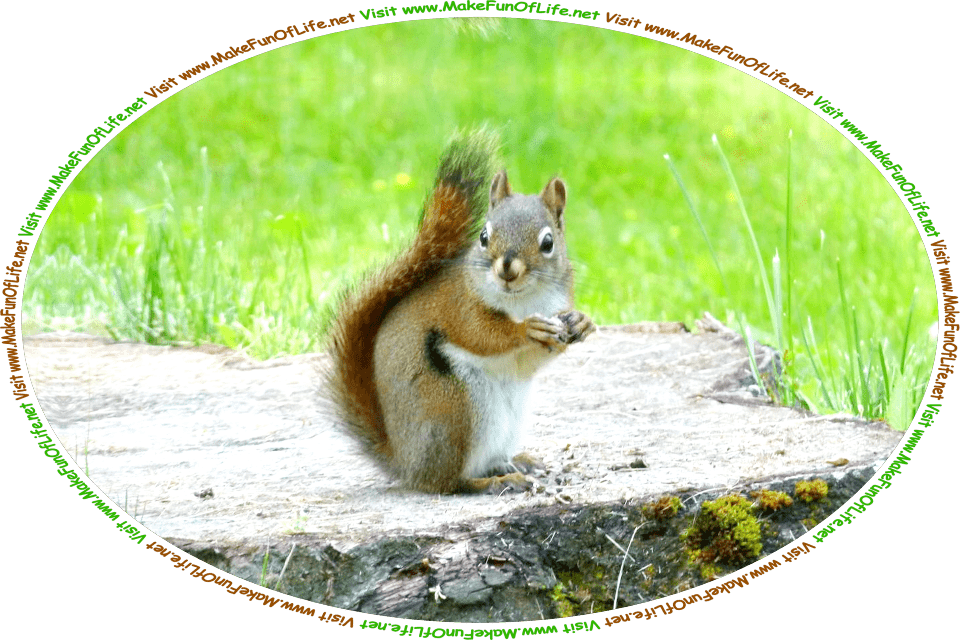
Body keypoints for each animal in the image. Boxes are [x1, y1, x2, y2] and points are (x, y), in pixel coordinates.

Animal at [325, 130, 595, 494]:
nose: (507, 269)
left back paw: (517, 462)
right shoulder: (459, 307)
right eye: (483, 236)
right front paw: (526, 330)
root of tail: (406, 463)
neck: (523, 301)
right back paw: (496, 480)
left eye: (548, 242)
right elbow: (481, 334)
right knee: (449, 482)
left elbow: (532, 361)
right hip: (454, 410)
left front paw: (581, 322)